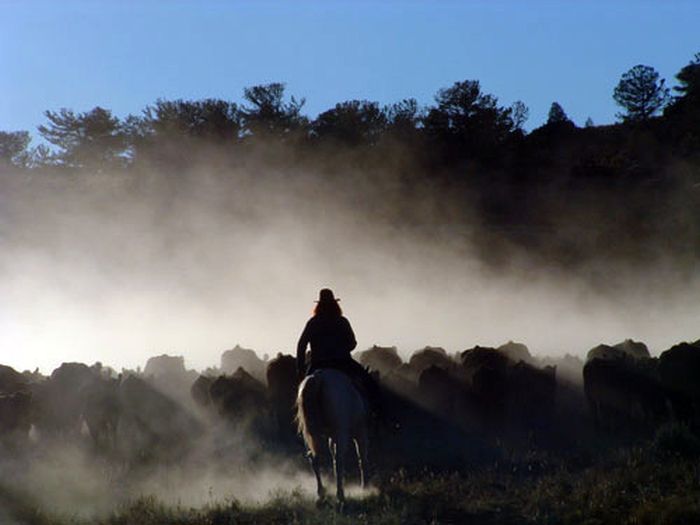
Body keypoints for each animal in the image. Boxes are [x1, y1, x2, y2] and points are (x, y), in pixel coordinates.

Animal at [296, 368, 372, 504]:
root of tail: (318, 378)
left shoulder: (332, 438)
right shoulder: (360, 433)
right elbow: (362, 457)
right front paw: (365, 487)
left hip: (310, 435)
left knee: (314, 459)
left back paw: (321, 493)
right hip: (341, 434)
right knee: (339, 460)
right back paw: (340, 495)